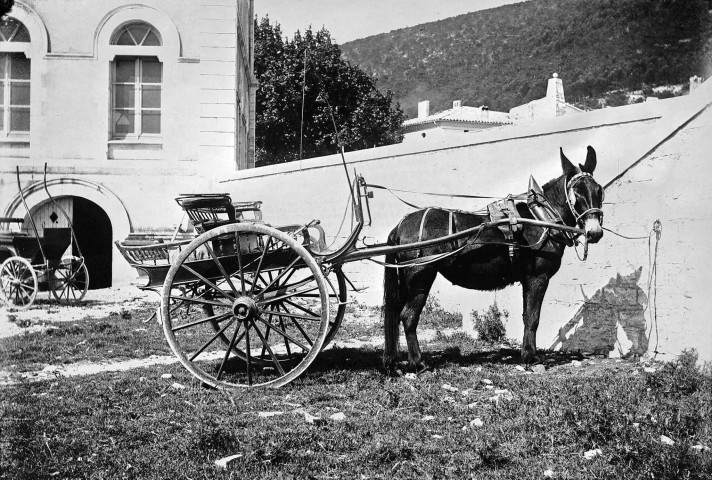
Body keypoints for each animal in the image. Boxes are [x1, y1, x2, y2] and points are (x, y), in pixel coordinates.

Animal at [382, 146, 604, 376]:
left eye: (599, 191)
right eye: (576, 192)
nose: (594, 232)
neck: (541, 219)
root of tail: (401, 225)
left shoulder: (528, 280)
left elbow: (527, 315)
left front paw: (526, 355)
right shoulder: (537, 278)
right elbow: (533, 317)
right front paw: (532, 358)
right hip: (421, 278)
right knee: (408, 317)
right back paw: (419, 364)